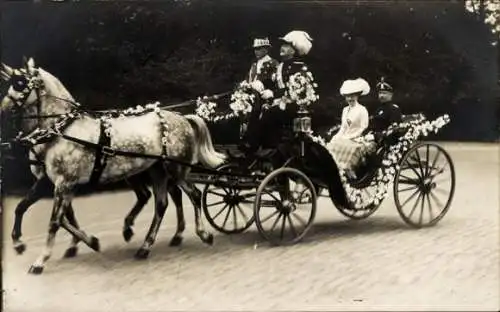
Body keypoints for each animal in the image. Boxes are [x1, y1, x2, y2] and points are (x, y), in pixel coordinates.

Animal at [0, 58, 227, 272]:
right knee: (161, 203)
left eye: (20, 83)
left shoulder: (64, 183)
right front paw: (22, 243)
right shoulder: (51, 182)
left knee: (193, 195)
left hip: (176, 170)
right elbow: (29, 208)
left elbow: (55, 221)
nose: (3, 111)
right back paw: (146, 244)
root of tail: (182, 117)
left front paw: (40, 260)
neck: (63, 130)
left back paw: (203, 234)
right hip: (156, 171)